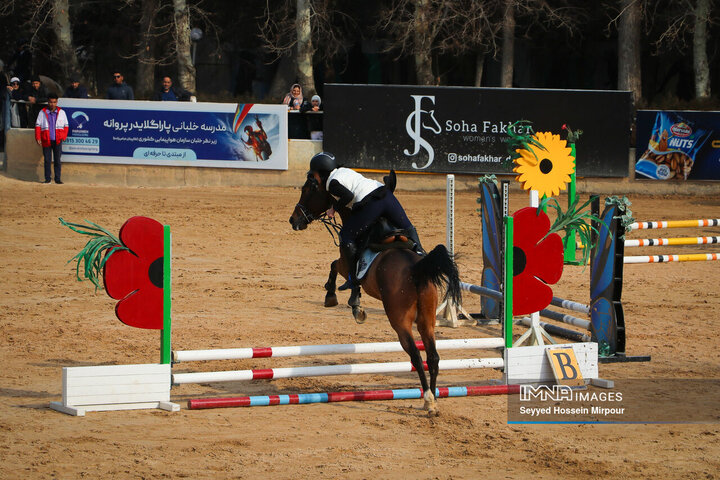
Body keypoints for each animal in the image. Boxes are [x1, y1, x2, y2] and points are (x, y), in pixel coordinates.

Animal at [288, 174, 462, 414]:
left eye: (307, 190)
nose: (293, 219)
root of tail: (417, 269)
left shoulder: (345, 263)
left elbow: (336, 268)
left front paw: (339, 299)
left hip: (400, 321)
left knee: (416, 356)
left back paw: (427, 397)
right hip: (427, 320)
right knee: (433, 357)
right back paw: (433, 402)